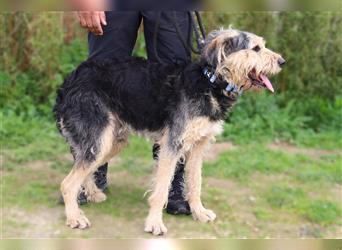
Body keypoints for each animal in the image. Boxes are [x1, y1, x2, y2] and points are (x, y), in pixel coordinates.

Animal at [54, 28, 286, 235]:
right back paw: (74, 216)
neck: (210, 80)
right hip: (99, 140)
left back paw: (93, 194)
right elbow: (161, 190)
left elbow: (195, 183)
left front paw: (199, 212)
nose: (282, 62)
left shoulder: (198, 146)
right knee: (67, 183)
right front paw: (155, 223)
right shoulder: (172, 145)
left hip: (111, 141)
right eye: (256, 48)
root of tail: (69, 81)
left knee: (84, 169)